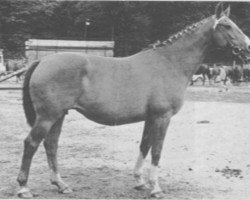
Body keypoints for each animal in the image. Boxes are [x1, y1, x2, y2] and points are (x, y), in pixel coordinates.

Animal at [17, 3, 250, 198]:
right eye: (227, 26)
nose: (247, 48)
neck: (169, 63)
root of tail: (43, 60)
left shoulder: (150, 118)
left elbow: (144, 145)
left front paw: (139, 181)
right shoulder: (162, 117)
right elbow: (157, 150)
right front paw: (155, 187)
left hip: (59, 116)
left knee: (51, 145)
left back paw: (61, 184)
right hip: (48, 116)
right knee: (31, 143)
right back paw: (24, 188)